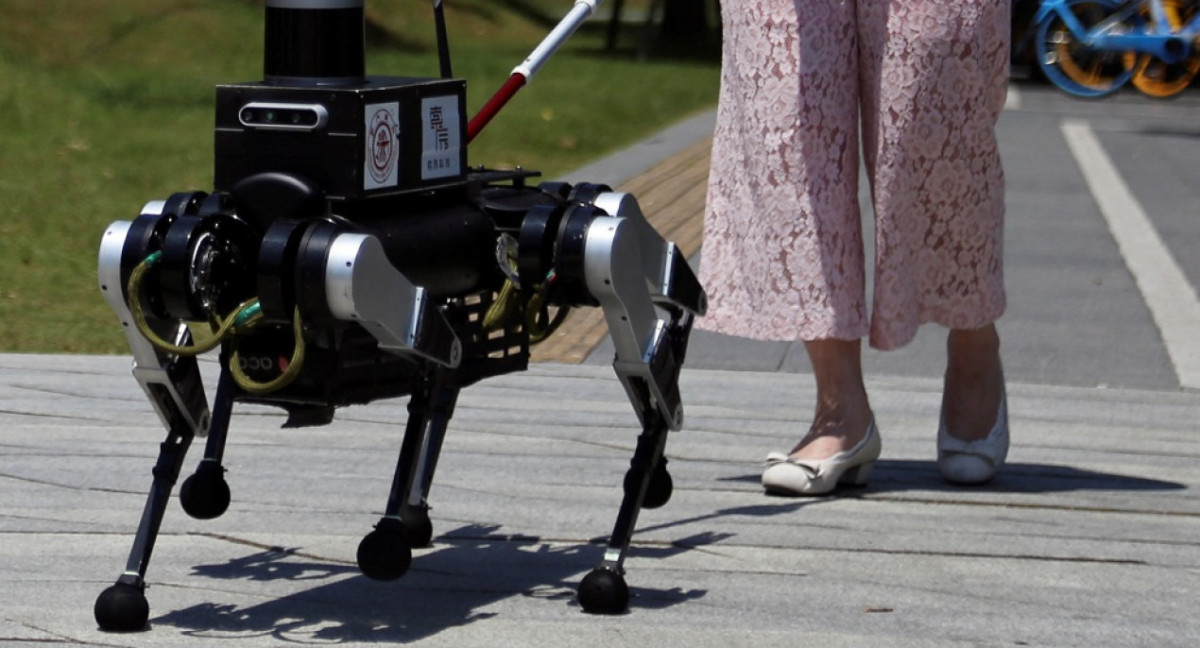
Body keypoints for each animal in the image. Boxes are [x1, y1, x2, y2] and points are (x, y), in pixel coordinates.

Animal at [98, 0, 705, 628]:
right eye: (211, 258)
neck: (270, 230)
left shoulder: (375, 276)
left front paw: (608, 574)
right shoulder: (143, 252)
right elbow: (179, 418)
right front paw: (128, 586)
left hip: (590, 239)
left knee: (657, 321)